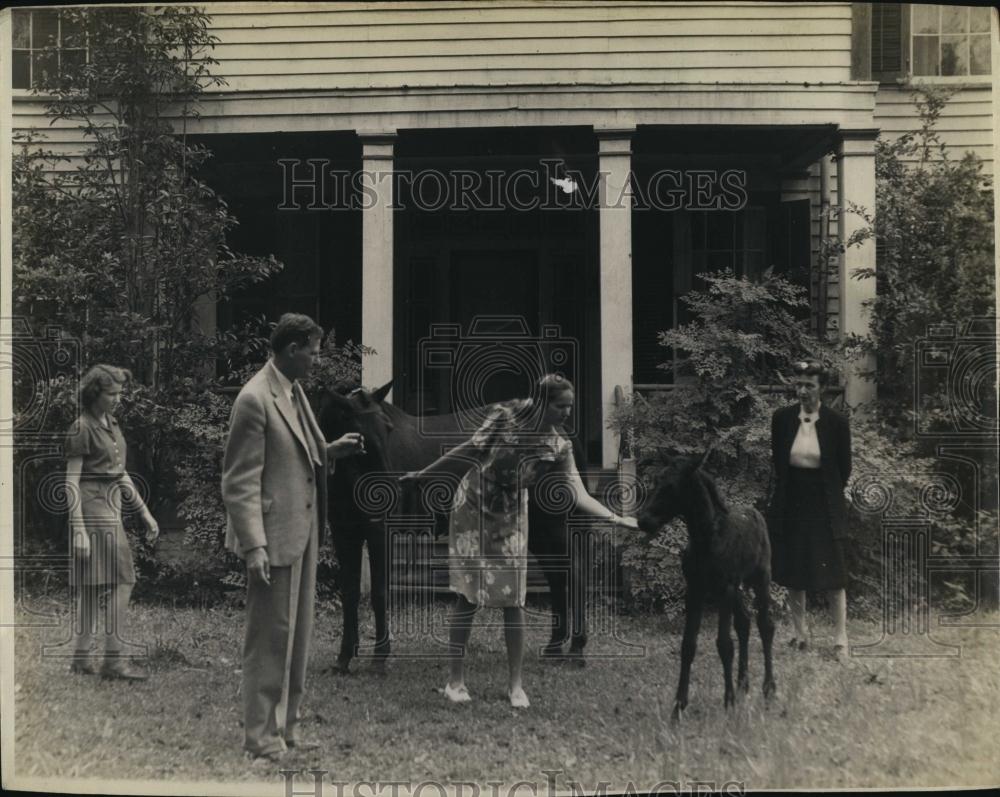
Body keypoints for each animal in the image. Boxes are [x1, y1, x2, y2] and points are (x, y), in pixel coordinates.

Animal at [316, 380, 588, 672]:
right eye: (358, 435)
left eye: (387, 428)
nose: (393, 493)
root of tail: (563, 436)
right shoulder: (345, 534)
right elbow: (350, 593)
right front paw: (344, 658)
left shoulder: (379, 533)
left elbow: (379, 594)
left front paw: (379, 659)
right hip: (541, 530)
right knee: (558, 576)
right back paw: (555, 647)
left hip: (552, 525)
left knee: (574, 572)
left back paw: (576, 650)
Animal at [636, 450, 776, 720]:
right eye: (656, 481)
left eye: (672, 486)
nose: (644, 521)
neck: (707, 539)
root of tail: (756, 513)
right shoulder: (696, 590)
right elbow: (688, 645)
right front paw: (678, 707)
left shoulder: (725, 589)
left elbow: (724, 644)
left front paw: (728, 703)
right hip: (737, 588)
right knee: (744, 622)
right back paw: (743, 684)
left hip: (759, 578)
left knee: (765, 625)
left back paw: (769, 689)